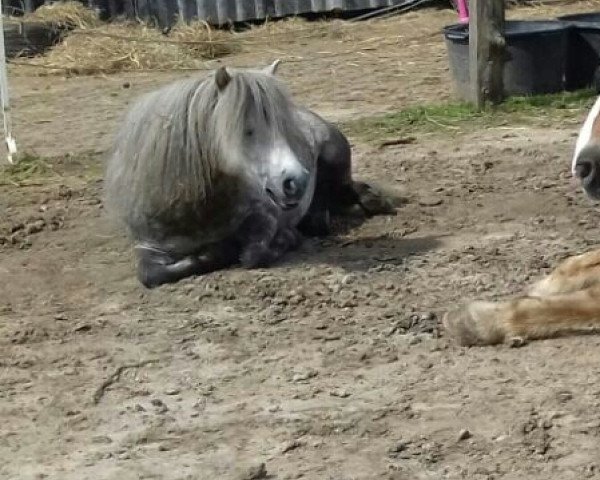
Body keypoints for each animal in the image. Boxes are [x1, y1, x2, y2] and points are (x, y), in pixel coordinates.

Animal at [104, 58, 394, 286]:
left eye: (284, 126)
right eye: (246, 129)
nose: (297, 182)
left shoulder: (265, 218)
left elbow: (253, 255)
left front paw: (285, 239)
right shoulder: (148, 246)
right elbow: (151, 275)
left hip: (334, 160)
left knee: (347, 189)